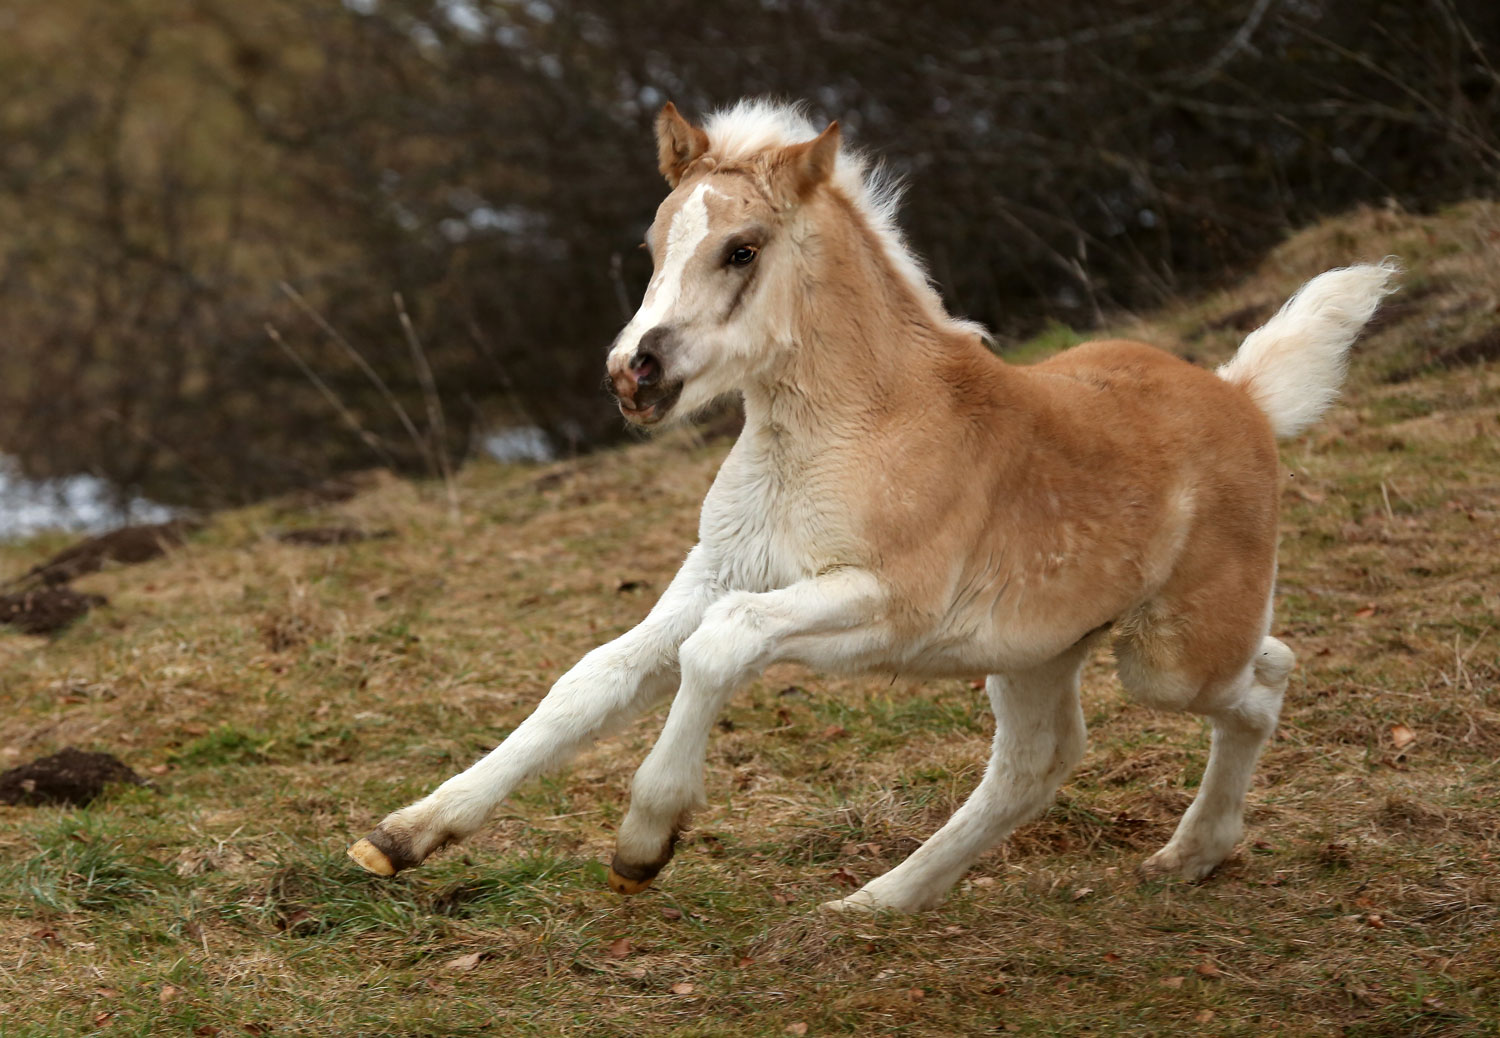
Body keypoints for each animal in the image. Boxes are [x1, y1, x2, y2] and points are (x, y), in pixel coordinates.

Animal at [351, 97, 1392, 906]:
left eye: (741, 249)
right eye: (652, 244)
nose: (633, 374)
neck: (827, 437)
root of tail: (1244, 397)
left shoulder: (884, 608)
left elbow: (718, 647)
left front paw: (643, 844)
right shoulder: (717, 571)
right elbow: (595, 679)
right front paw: (401, 837)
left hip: (1168, 658)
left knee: (1266, 676)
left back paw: (1189, 853)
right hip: (1035, 653)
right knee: (1038, 762)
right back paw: (878, 904)